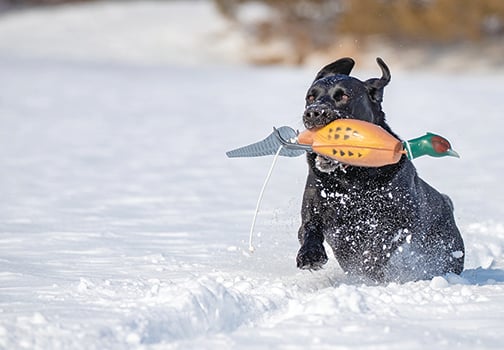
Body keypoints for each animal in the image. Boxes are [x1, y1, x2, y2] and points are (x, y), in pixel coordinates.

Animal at [296, 56, 464, 282]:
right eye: (310, 97)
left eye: (344, 96)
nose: (314, 112)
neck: (351, 178)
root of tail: (447, 204)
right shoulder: (314, 205)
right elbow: (309, 228)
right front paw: (310, 255)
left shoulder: (400, 220)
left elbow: (381, 242)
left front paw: (370, 266)